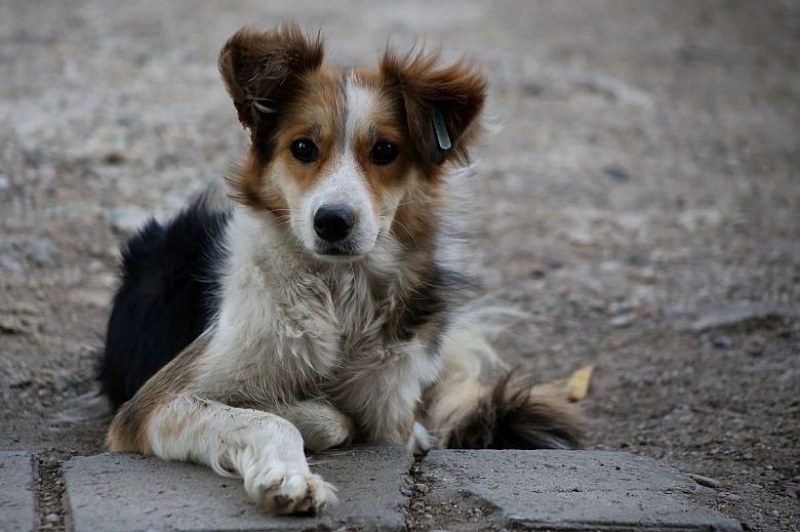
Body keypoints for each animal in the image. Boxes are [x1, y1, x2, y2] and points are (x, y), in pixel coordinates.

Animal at [100, 26, 580, 516]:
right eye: (303, 148)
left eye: (385, 150)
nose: (331, 221)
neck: (337, 292)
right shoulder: (154, 403)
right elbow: (280, 418)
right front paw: (290, 474)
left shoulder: (393, 414)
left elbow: (365, 423)